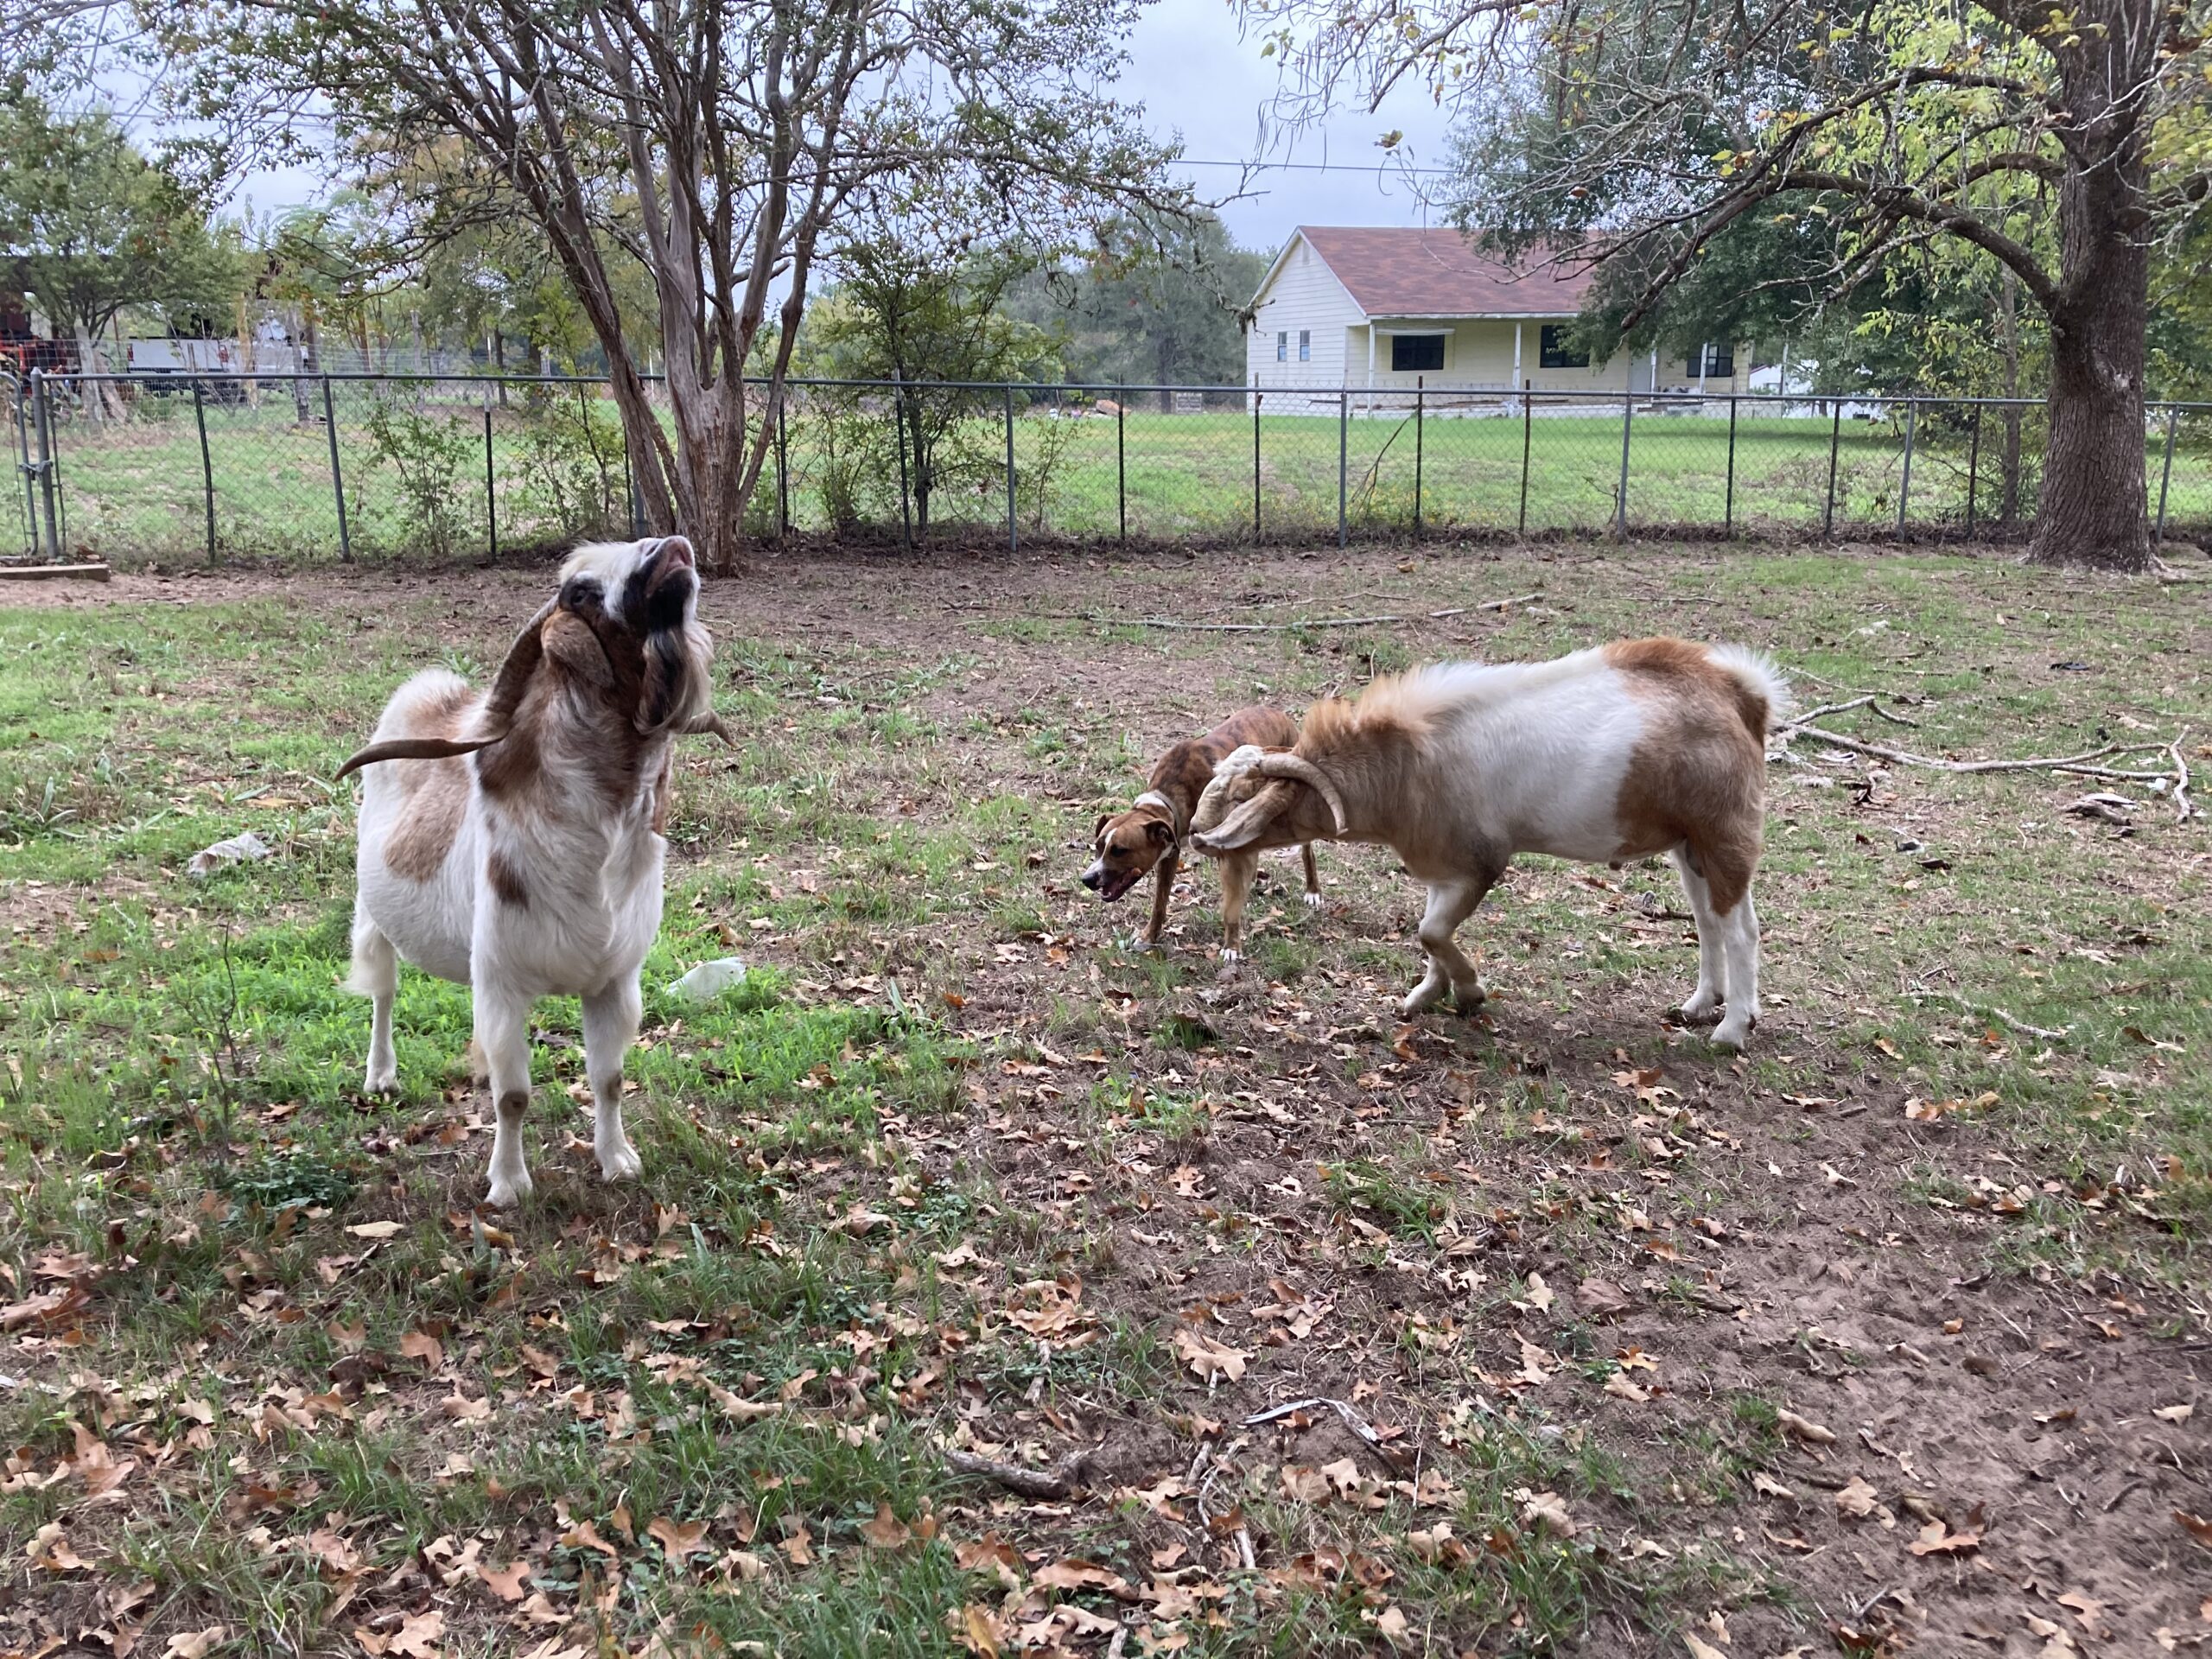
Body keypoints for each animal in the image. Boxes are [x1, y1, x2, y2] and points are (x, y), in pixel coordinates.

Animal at [337, 537, 730, 1206]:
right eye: (579, 591)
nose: (671, 548)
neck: (594, 851)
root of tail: (425, 695)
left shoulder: (614, 982)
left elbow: (609, 1079)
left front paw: (617, 1160)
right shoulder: (502, 983)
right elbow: (514, 1096)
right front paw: (508, 1186)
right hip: (372, 915)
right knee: (382, 988)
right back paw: (382, 1076)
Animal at [1190, 638, 1787, 1049]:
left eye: (1247, 796)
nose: (1202, 840)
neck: (1406, 766)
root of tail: (1743, 695)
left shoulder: (1479, 866)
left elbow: (1432, 932)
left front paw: (1471, 993)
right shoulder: (1444, 869)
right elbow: (1431, 932)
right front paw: (1427, 996)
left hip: (1723, 833)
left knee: (1739, 931)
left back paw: (1731, 1030)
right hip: (1690, 845)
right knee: (1711, 922)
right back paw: (1700, 1005)